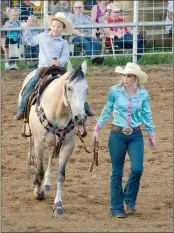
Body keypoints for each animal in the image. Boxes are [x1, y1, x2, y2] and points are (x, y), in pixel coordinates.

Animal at [19, 61, 88, 216]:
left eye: (86, 89)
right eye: (69, 88)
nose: (80, 118)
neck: (58, 112)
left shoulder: (68, 145)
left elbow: (61, 175)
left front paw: (58, 205)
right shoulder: (39, 143)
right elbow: (39, 170)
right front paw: (38, 193)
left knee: (50, 157)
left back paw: (47, 183)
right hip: (30, 134)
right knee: (32, 156)